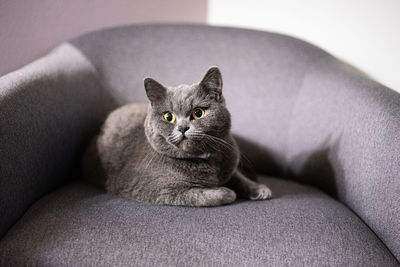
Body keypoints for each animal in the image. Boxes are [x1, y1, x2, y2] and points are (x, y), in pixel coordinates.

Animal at [83, 67, 274, 207]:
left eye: (198, 113)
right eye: (169, 116)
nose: (182, 128)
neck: (204, 161)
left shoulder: (229, 161)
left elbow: (237, 176)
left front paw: (259, 189)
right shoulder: (156, 189)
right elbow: (199, 195)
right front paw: (227, 191)